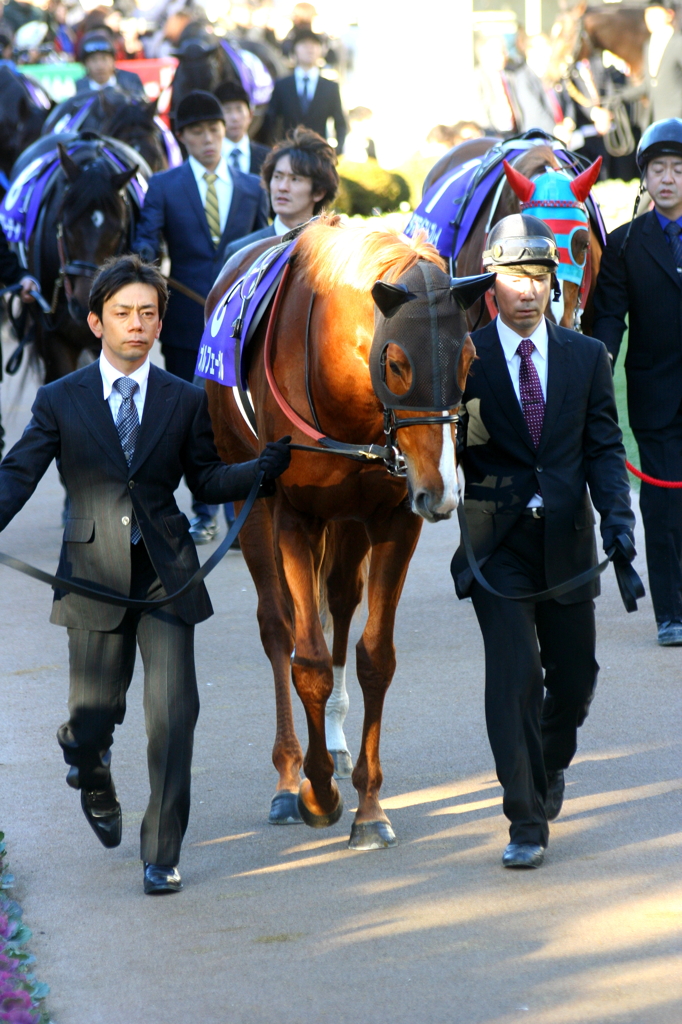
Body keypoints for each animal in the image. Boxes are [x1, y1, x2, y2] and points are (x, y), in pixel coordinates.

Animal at [204, 218, 481, 847]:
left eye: (469, 358)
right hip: (246, 497)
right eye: (397, 361)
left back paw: (329, 743)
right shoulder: (293, 514)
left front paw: (369, 806)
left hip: (350, 523)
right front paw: (319, 793)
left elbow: (374, 657)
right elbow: (304, 660)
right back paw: (289, 775)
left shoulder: (393, 518)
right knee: (277, 627)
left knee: (340, 602)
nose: (442, 490)